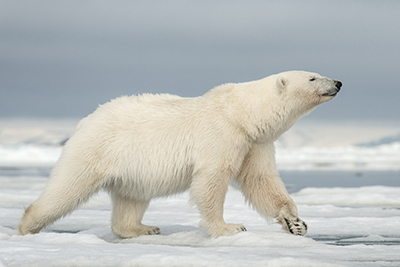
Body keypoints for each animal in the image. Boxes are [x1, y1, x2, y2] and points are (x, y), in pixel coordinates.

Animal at [18, 70, 340, 239]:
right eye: (312, 78)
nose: (337, 82)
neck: (241, 114)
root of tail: (86, 120)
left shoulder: (255, 142)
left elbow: (261, 179)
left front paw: (296, 222)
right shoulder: (221, 133)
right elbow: (211, 179)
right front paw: (229, 226)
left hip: (131, 168)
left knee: (131, 198)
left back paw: (144, 228)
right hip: (96, 148)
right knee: (67, 188)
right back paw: (26, 226)